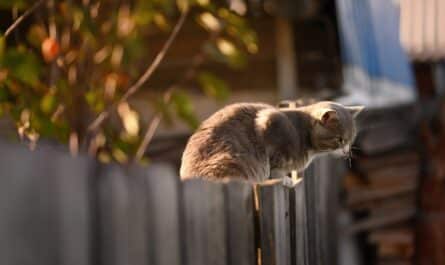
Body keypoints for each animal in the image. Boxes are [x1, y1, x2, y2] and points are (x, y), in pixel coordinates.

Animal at [179, 100, 362, 185]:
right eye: (340, 139)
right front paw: (285, 179)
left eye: (351, 139)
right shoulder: (270, 121)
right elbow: (275, 166)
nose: (347, 151)